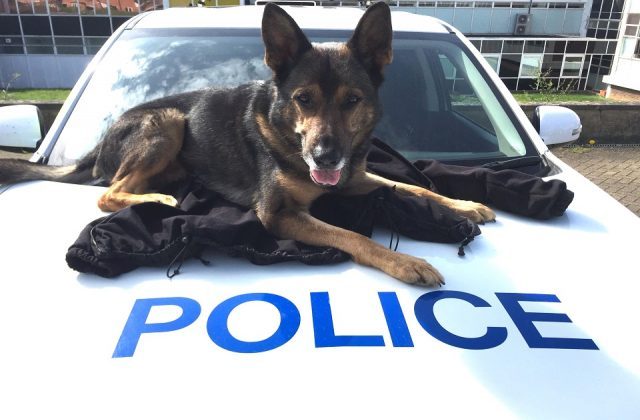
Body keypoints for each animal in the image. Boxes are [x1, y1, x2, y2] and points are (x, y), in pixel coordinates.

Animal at [0, 2, 496, 286]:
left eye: (352, 100)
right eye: (303, 99)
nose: (325, 157)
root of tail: (101, 144)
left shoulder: (354, 178)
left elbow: (414, 188)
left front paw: (465, 204)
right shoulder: (279, 215)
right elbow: (350, 234)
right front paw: (405, 262)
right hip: (168, 122)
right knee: (108, 193)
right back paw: (158, 196)